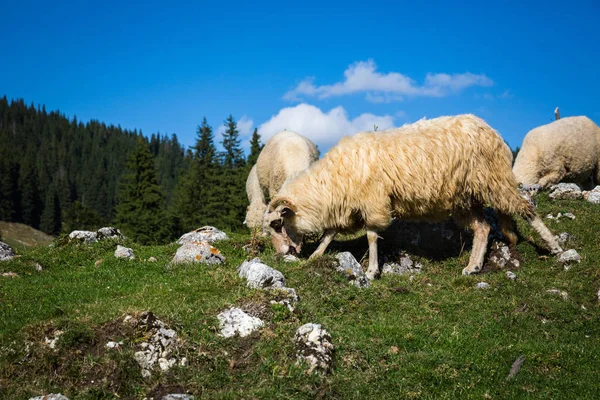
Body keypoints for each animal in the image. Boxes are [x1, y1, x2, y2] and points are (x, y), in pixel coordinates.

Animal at [262, 114, 564, 278]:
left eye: (278, 223)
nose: (283, 254)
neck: (330, 182)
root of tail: (493, 131)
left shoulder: (373, 202)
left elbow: (371, 235)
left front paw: (371, 271)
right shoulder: (349, 206)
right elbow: (330, 233)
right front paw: (315, 256)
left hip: (495, 180)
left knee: (526, 208)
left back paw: (555, 247)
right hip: (465, 198)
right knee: (482, 228)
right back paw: (473, 266)